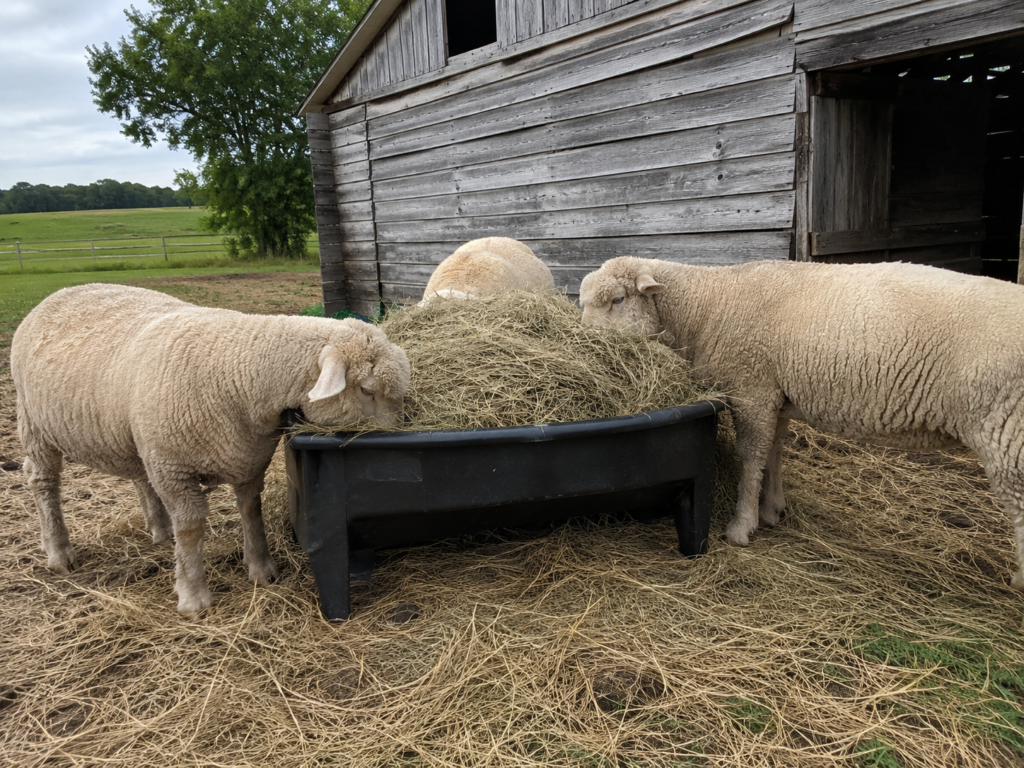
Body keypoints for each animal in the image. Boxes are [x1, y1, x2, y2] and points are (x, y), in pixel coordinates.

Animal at [12, 283, 411, 616]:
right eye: (367, 390)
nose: (399, 433)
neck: (237, 368)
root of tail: (60, 292)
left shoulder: (248, 458)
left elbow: (251, 511)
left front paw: (261, 569)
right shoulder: (173, 469)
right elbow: (190, 529)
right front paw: (192, 596)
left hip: (133, 435)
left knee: (140, 479)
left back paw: (161, 531)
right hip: (35, 425)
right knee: (43, 482)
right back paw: (59, 552)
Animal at [579, 257, 1024, 590]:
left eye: (617, 299)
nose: (584, 341)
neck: (707, 305)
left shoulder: (752, 387)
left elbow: (751, 457)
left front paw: (742, 526)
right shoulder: (775, 394)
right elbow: (774, 452)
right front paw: (772, 509)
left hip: (1008, 432)